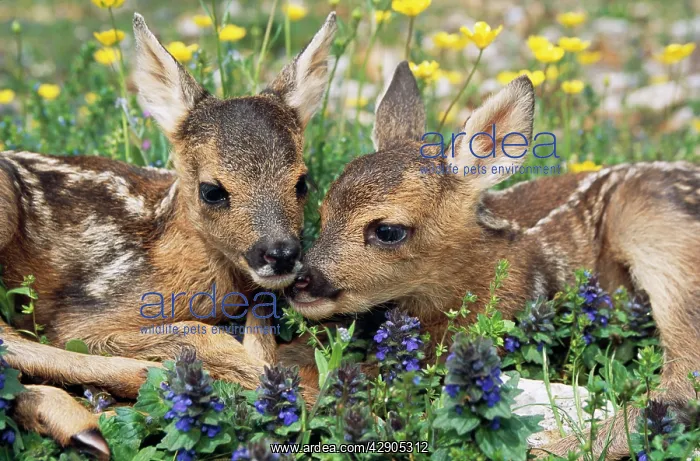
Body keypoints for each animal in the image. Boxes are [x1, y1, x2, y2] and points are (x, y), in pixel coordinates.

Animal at [0, 12, 337, 459]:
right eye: (212, 190)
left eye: (302, 182)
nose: (280, 253)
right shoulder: (82, 316)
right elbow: (197, 332)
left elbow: (258, 318)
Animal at [286, 61, 700, 460]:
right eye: (322, 211)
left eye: (388, 231)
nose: (300, 282)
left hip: (655, 232)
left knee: (683, 381)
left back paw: (555, 448)